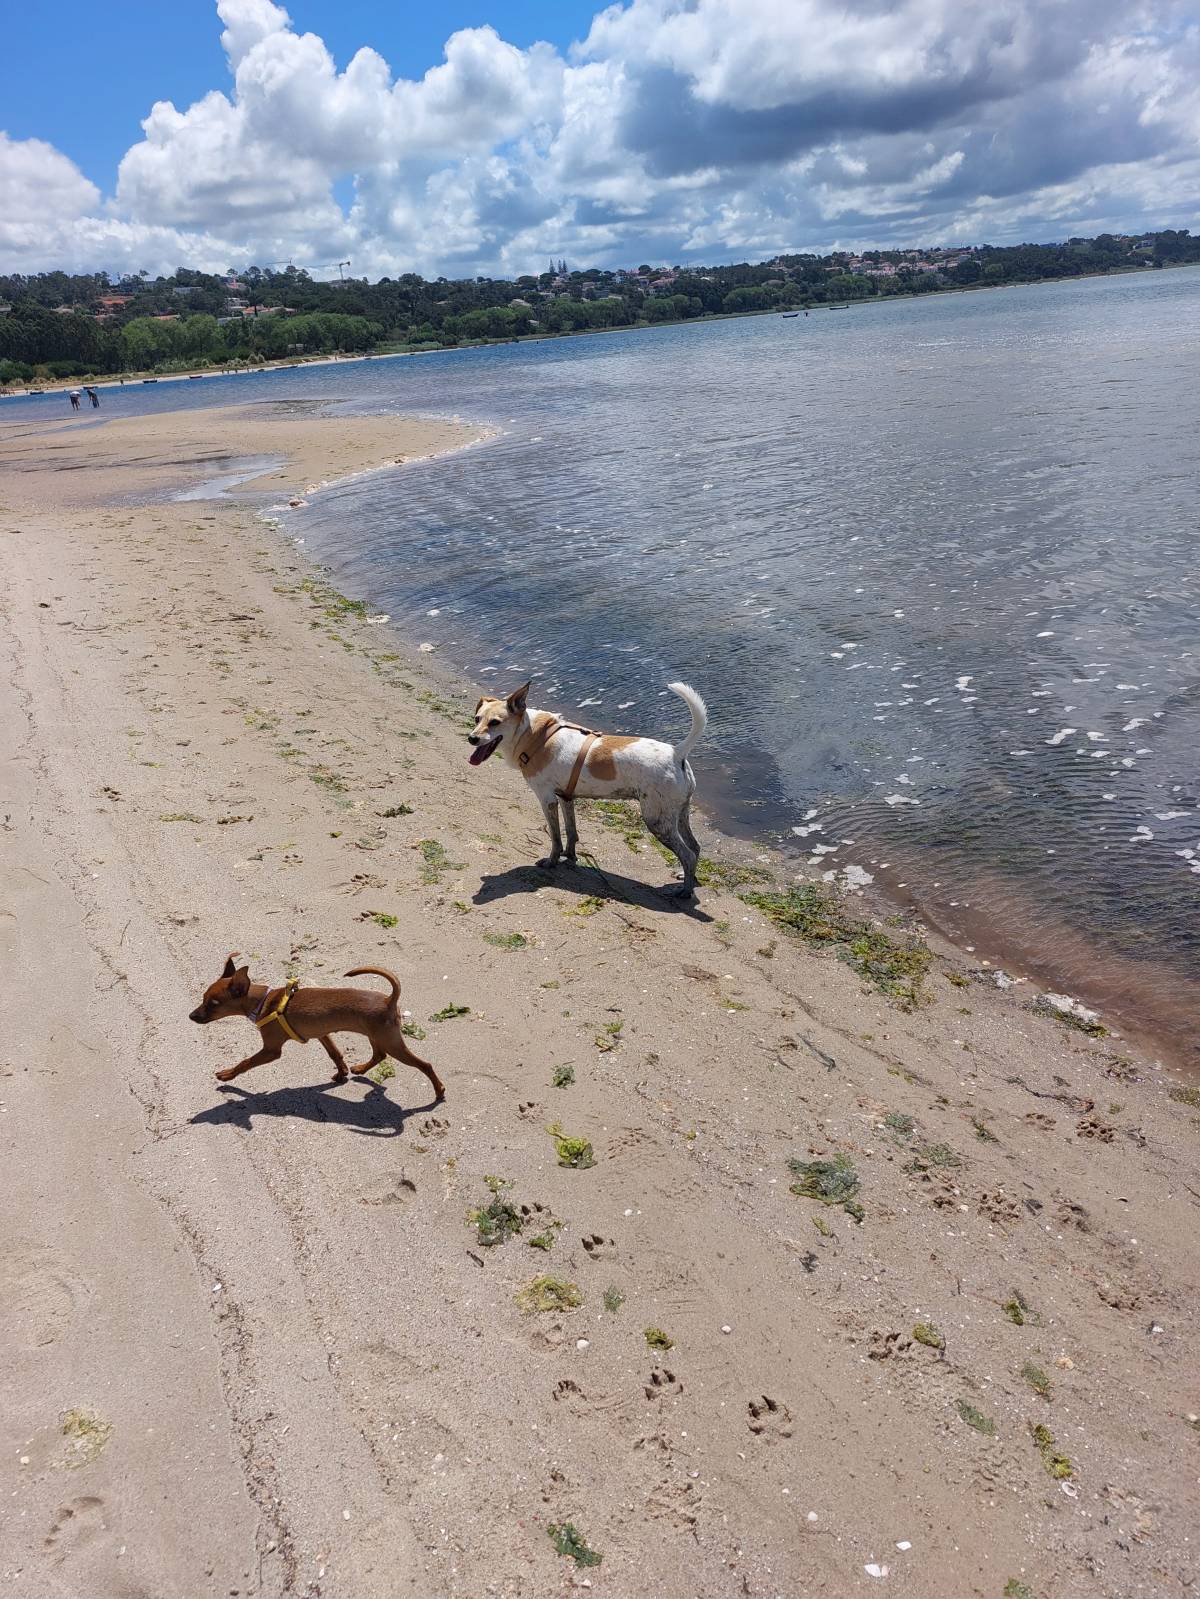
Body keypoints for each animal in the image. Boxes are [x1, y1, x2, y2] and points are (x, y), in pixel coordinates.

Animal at [190, 946, 444, 1100]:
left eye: (213, 1004)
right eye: (203, 999)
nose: (191, 1016)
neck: (265, 1002)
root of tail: (388, 999)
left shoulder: (271, 1050)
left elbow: (245, 1062)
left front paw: (228, 1075)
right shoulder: (322, 1033)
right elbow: (335, 1054)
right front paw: (341, 1073)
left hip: (391, 1042)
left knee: (425, 1065)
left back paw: (439, 1090)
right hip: (376, 1035)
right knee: (379, 1055)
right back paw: (360, 1068)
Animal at [467, 677, 713, 895]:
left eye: (495, 722)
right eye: (477, 718)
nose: (472, 738)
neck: (534, 736)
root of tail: (677, 752)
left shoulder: (548, 799)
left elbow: (555, 836)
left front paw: (552, 861)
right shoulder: (565, 797)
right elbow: (571, 831)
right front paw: (570, 857)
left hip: (657, 820)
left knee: (688, 854)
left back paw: (685, 891)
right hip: (679, 814)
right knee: (695, 847)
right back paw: (688, 878)